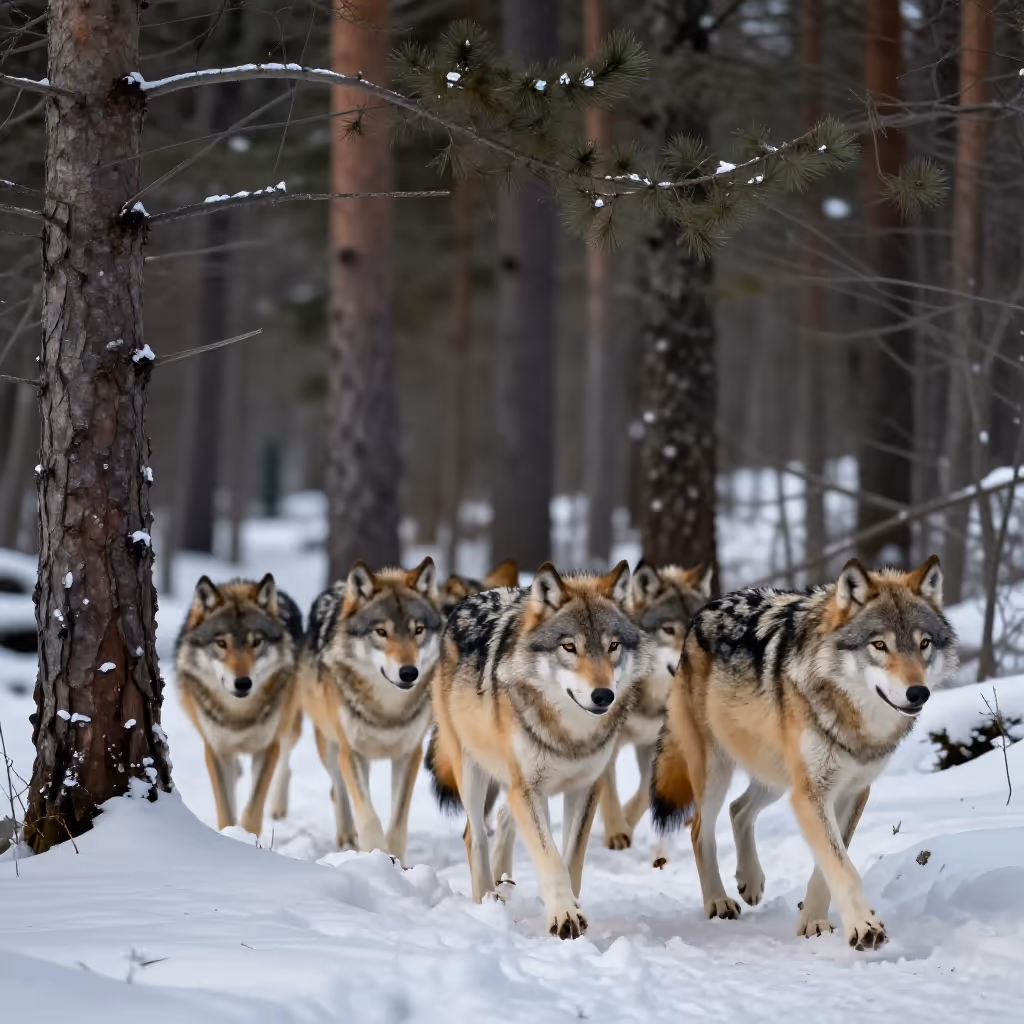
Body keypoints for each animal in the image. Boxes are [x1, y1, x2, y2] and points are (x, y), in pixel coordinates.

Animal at [176, 574, 304, 837]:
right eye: (221, 643)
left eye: (256, 642)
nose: (243, 682)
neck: (238, 713)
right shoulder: (216, 749)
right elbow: (225, 809)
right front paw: (230, 833)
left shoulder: (267, 747)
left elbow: (254, 810)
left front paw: (246, 836)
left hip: (289, 722)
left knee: (286, 759)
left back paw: (278, 807)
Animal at [302, 557, 442, 861]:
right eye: (381, 632)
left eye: (418, 630)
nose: (409, 672)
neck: (386, 711)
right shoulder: (350, 750)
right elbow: (367, 815)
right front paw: (376, 854)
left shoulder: (409, 754)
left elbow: (398, 819)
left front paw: (396, 862)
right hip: (330, 748)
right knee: (338, 790)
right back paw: (346, 840)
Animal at [427, 561, 652, 939]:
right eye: (569, 647)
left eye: (613, 645)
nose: (603, 695)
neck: (570, 736)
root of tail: (468, 600)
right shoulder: (527, 789)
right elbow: (551, 858)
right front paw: (564, 915)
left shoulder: (584, 788)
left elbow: (570, 857)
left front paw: (571, 909)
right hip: (472, 772)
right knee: (474, 835)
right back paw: (486, 901)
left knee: (503, 818)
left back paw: (504, 886)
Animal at [600, 560, 711, 857]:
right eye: (668, 630)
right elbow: (609, 791)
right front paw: (616, 832)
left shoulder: (653, 742)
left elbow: (644, 794)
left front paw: (626, 820)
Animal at [651, 556, 957, 950]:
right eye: (879, 645)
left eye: (924, 643)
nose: (918, 692)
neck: (856, 722)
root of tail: (701, 614)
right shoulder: (811, 793)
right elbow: (841, 866)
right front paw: (863, 926)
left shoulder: (850, 792)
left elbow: (829, 865)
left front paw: (813, 921)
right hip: (717, 770)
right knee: (699, 828)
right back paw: (718, 901)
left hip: (776, 777)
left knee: (738, 810)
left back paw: (750, 880)